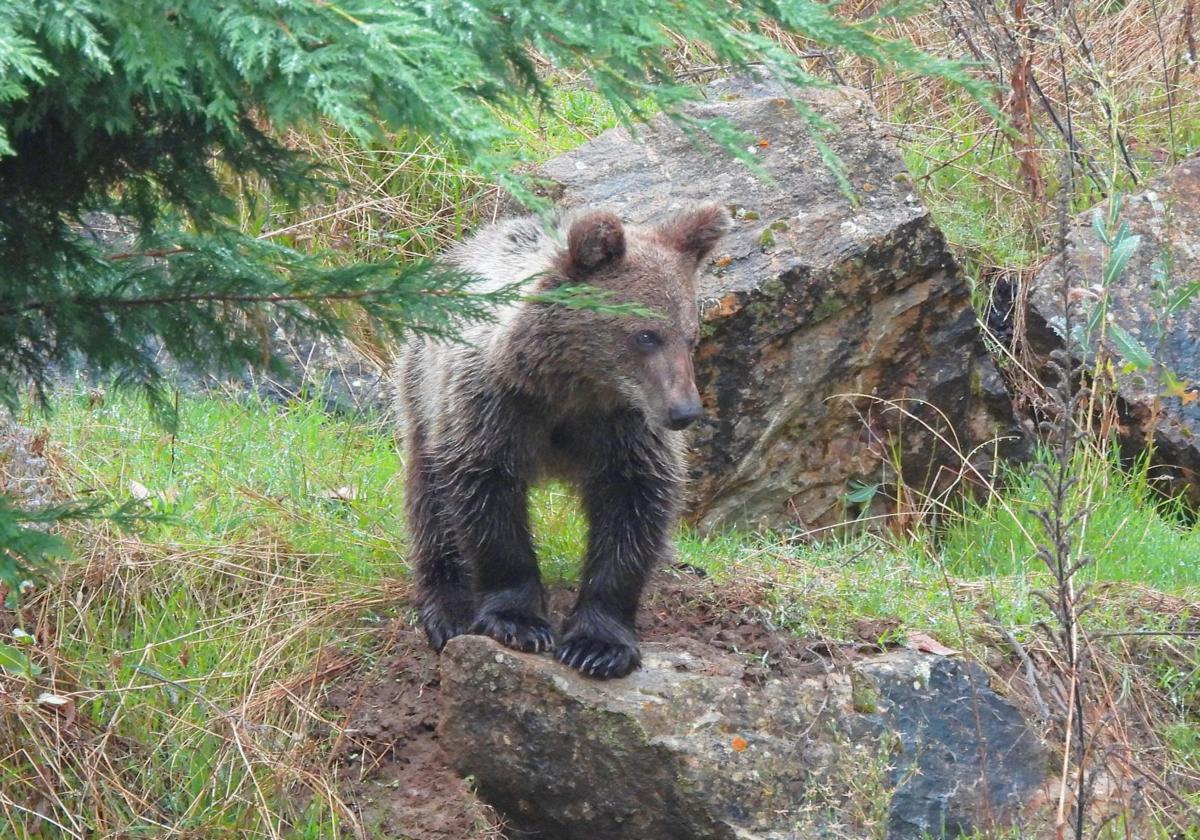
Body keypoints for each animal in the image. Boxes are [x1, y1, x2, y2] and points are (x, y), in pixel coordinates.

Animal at [398, 201, 724, 676]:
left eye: (690, 336)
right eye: (645, 335)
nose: (684, 412)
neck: (572, 387)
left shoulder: (624, 427)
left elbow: (633, 506)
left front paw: (598, 644)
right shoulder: (494, 406)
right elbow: (485, 494)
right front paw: (518, 621)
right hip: (422, 386)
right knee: (430, 499)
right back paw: (447, 607)